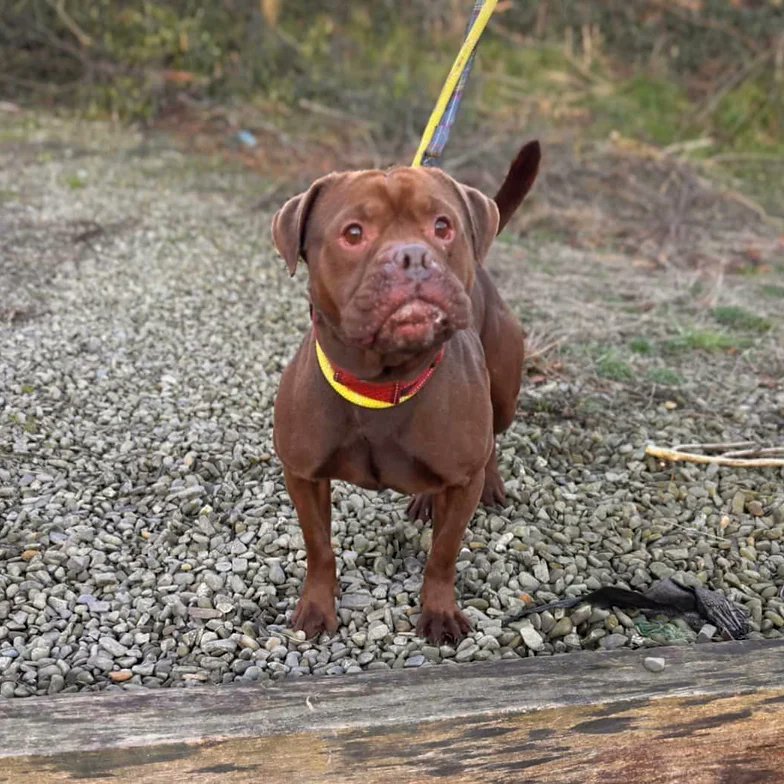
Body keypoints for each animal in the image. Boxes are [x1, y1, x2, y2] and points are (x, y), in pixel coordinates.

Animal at [272, 141, 540, 644]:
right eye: (353, 233)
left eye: (442, 226)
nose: (413, 256)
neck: (381, 383)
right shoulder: (303, 476)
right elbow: (319, 547)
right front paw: (316, 607)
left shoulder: (462, 482)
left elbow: (444, 554)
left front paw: (439, 612)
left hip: (503, 397)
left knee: (492, 439)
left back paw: (487, 483)